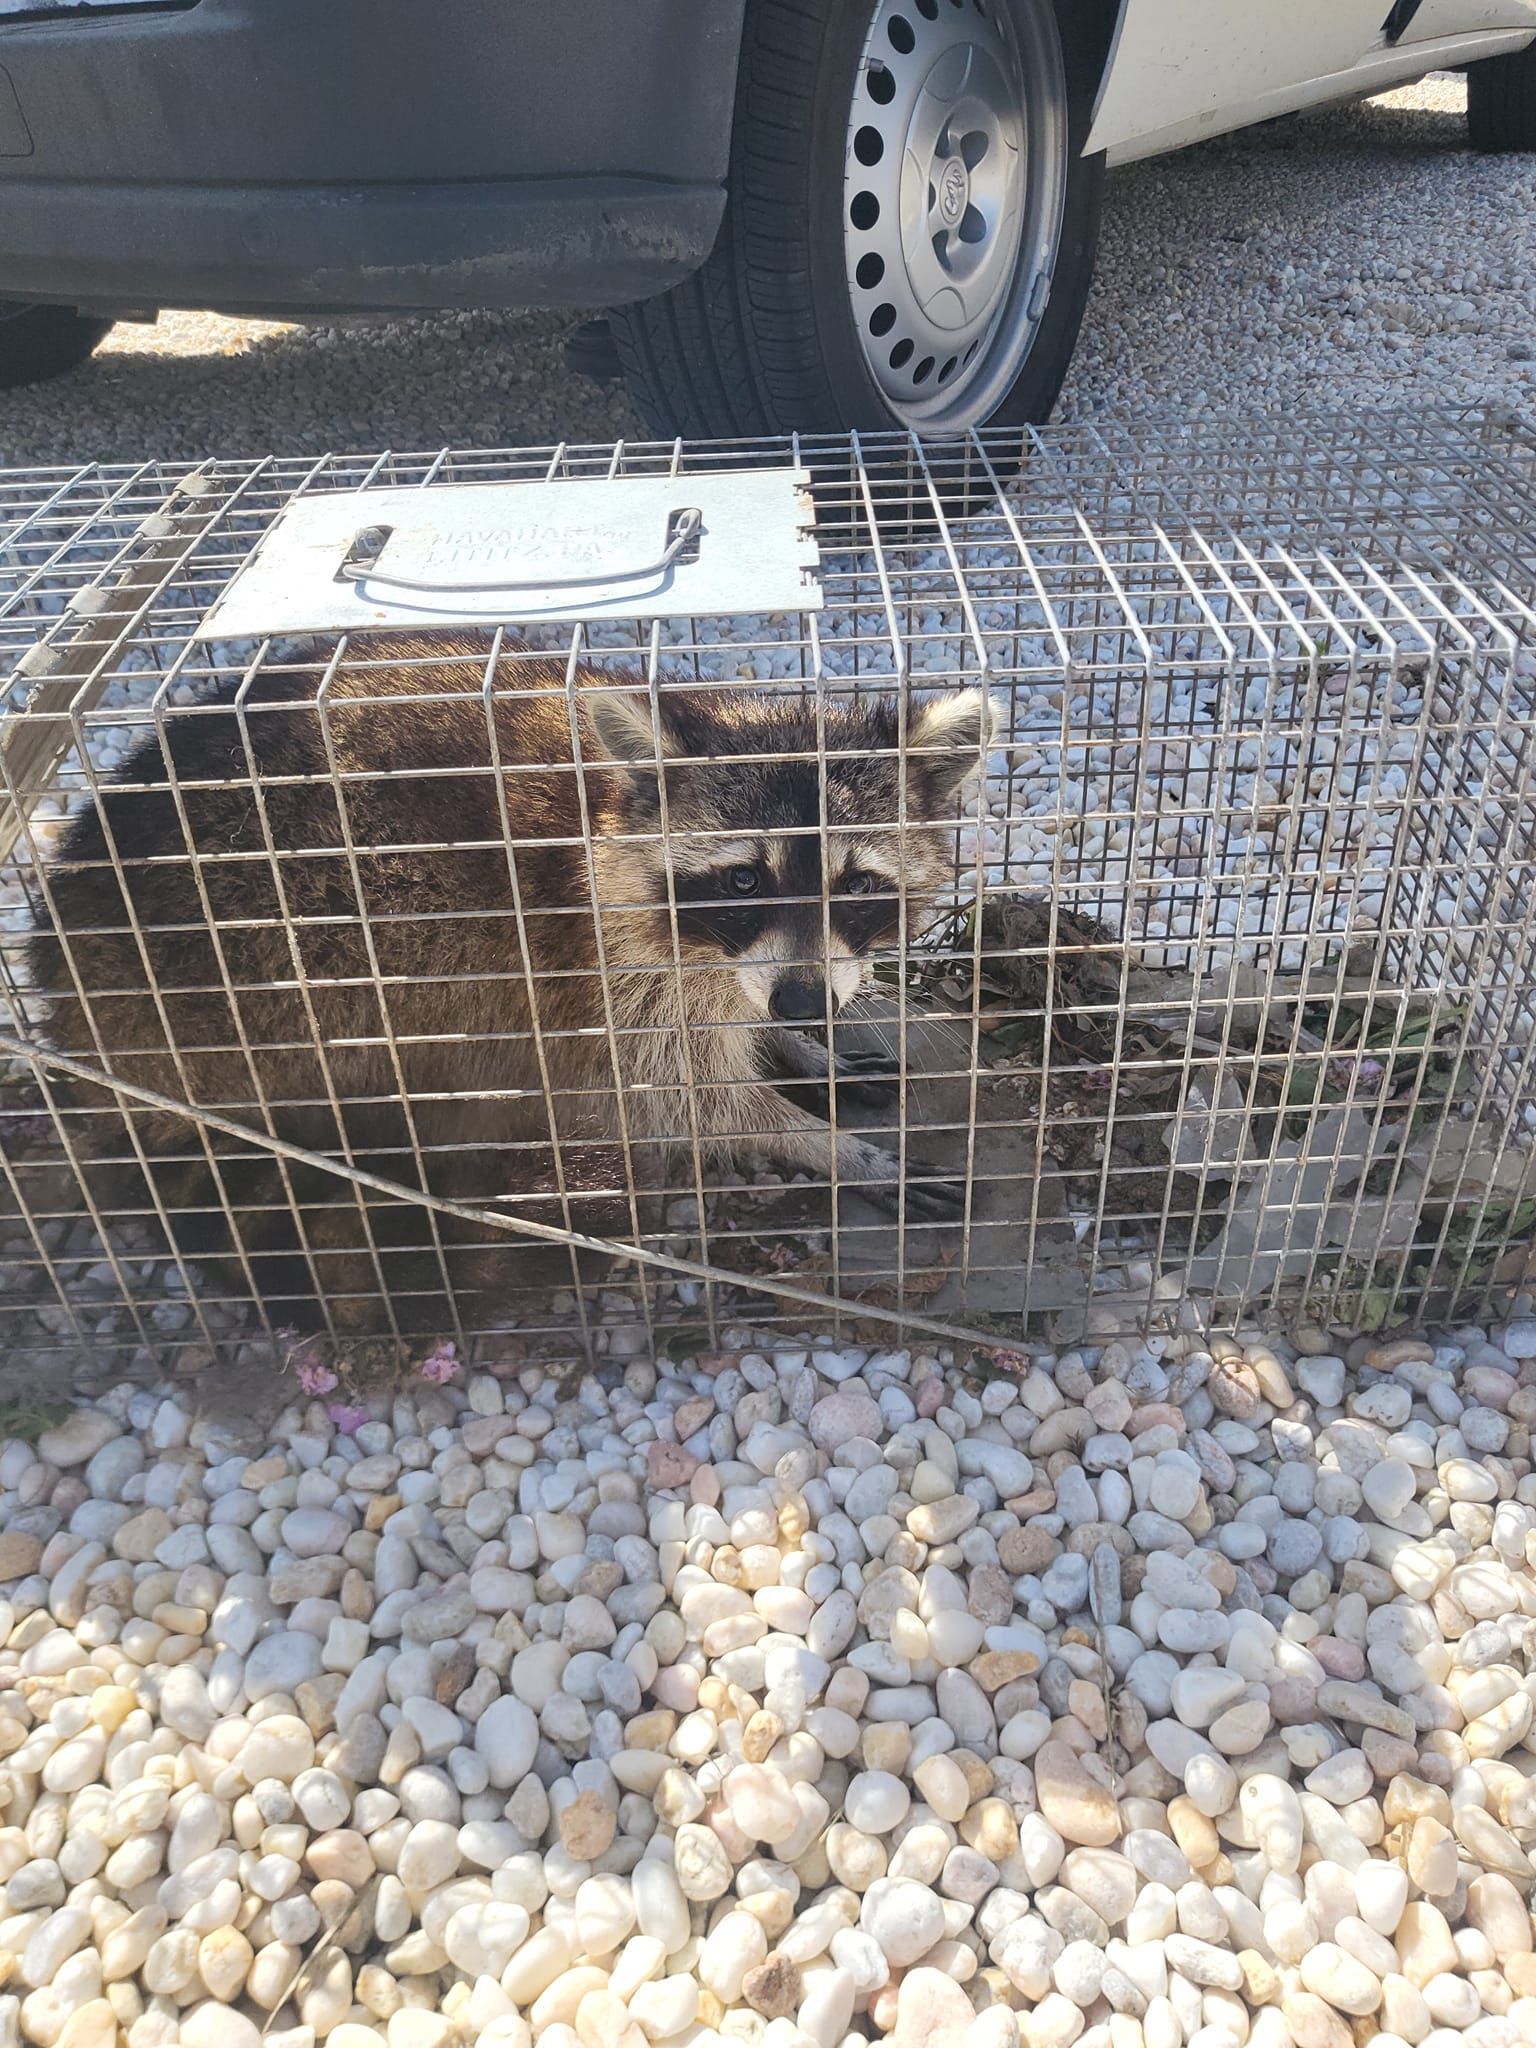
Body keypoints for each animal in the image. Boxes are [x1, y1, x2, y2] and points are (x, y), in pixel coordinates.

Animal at [26, 634, 990, 1336]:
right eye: (745, 880)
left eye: (857, 887)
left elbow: (731, 1026)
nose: (800, 1003)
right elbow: (681, 1095)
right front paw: (824, 1142)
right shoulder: (603, 967)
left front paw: (800, 1045)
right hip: (262, 964)